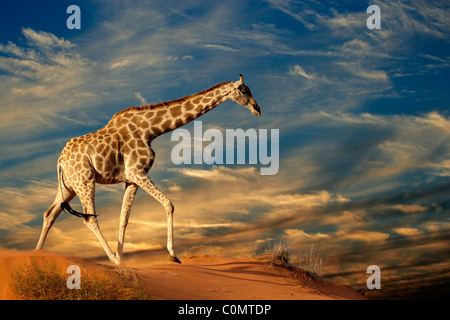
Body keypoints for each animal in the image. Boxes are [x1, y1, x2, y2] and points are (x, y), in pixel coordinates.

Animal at [36, 74, 260, 262]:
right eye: (243, 90)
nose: (257, 109)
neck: (151, 130)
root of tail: (60, 160)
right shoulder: (137, 172)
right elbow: (169, 204)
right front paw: (172, 255)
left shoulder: (130, 180)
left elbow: (123, 219)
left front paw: (124, 259)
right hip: (84, 181)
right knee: (89, 219)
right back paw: (112, 260)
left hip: (69, 186)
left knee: (50, 214)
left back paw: (37, 254)